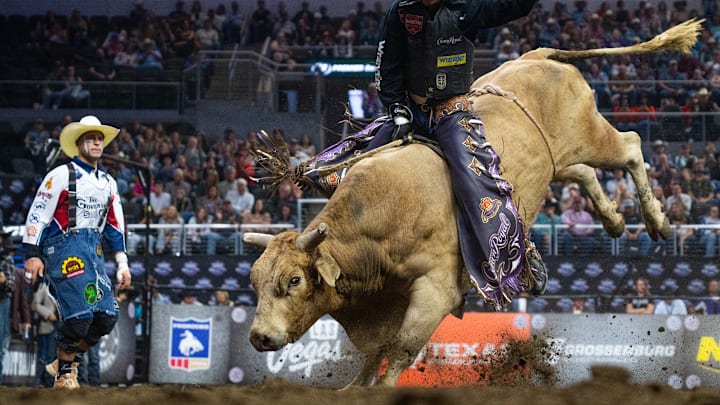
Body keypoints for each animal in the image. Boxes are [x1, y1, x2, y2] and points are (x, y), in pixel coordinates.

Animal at [242, 19, 701, 387]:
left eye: (294, 281)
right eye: (255, 280)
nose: (259, 337)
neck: (380, 221)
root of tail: (539, 55)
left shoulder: (435, 292)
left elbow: (400, 349)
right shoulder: (385, 298)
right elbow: (376, 349)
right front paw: (351, 389)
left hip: (590, 134)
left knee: (631, 147)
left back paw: (656, 220)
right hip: (559, 162)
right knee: (585, 173)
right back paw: (613, 221)